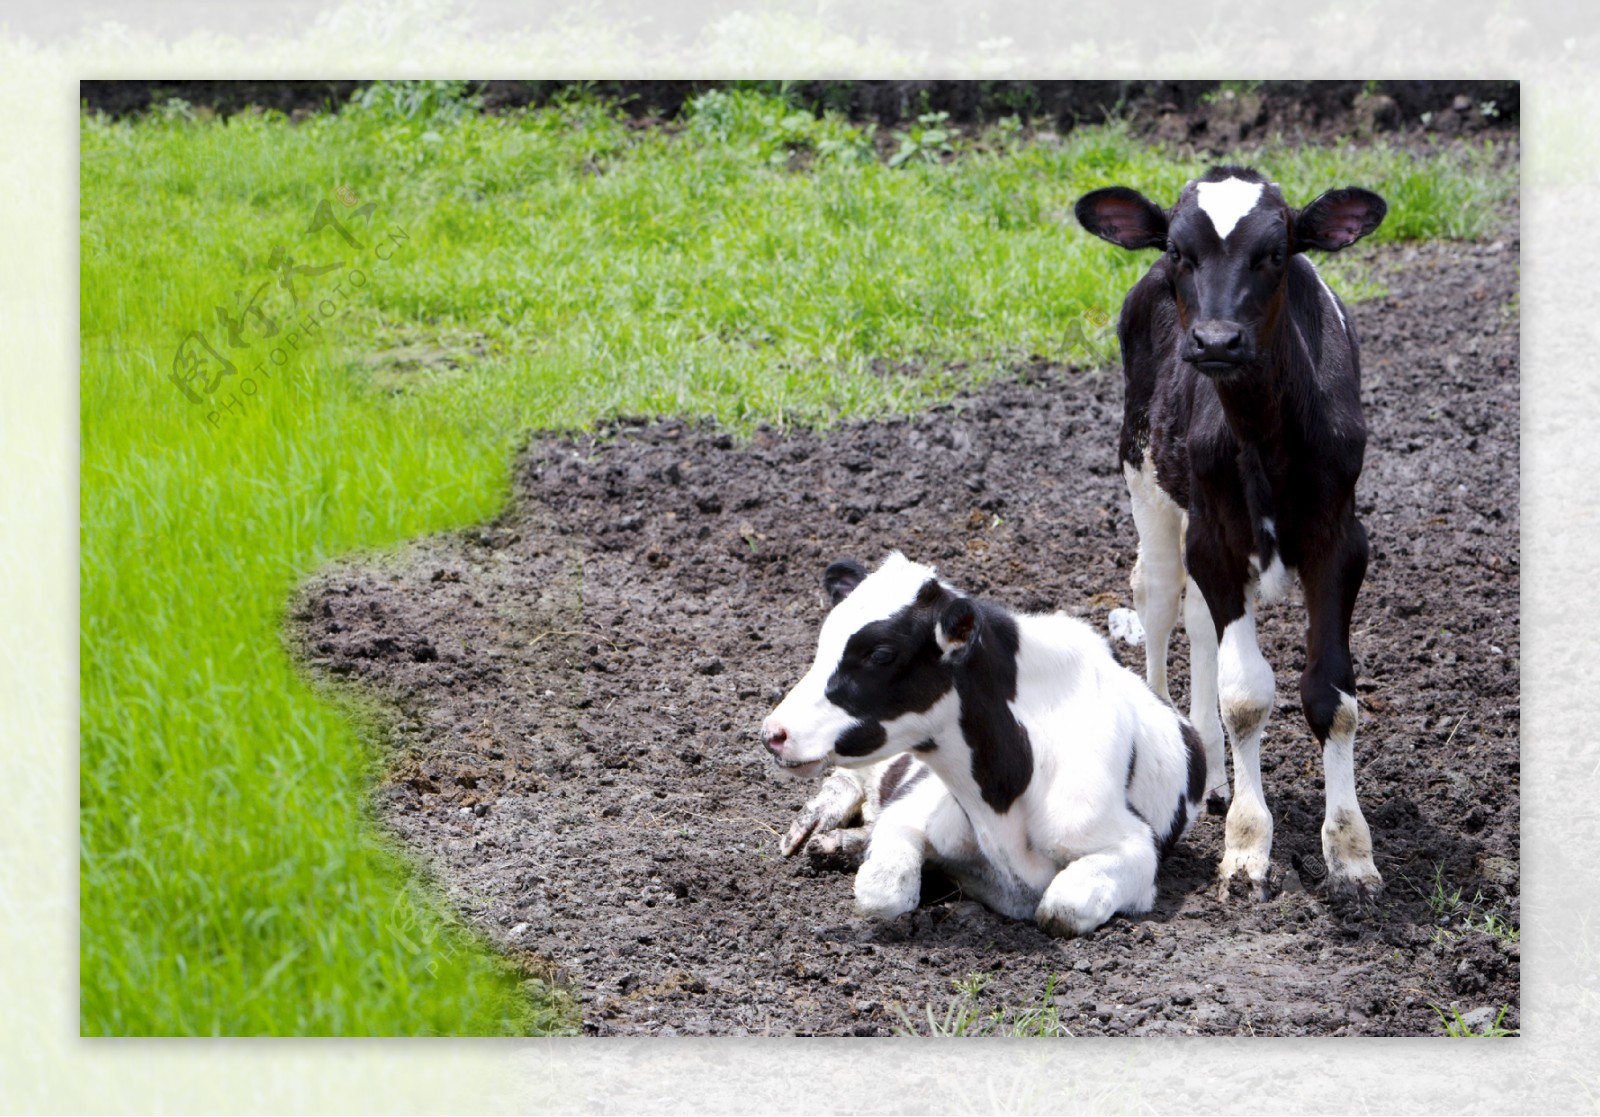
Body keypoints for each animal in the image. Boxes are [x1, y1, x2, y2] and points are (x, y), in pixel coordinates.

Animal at [761, 553, 1203, 934]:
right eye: (823, 643)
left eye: (881, 654)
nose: (773, 733)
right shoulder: (913, 806)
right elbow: (882, 892)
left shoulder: (1133, 847)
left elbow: (1061, 909)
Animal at [1075, 163, 1388, 896]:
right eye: (1178, 252)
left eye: (1274, 253)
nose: (1216, 342)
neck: (1267, 434)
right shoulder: (1215, 539)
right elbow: (1246, 697)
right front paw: (1248, 845)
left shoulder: (1340, 540)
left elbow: (1331, 693)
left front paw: (1351, 851)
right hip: (1147, 475)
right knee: (1160, 596)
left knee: (1198, 622)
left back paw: (1216, 775)